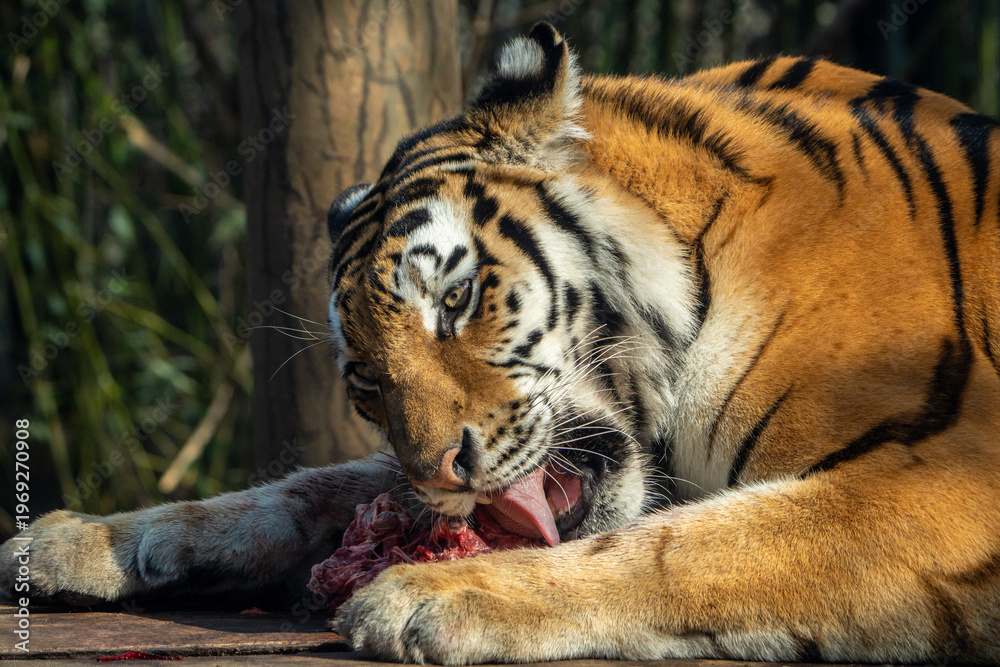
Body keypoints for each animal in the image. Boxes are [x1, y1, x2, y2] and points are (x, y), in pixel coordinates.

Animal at [4, 22, 1000, 664]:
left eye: (456, 298)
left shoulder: (945, 479)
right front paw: (81, 541)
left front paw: (433, 597)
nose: (443, 469)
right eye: (365, 379)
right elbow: (306, 486)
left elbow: (681, 547)